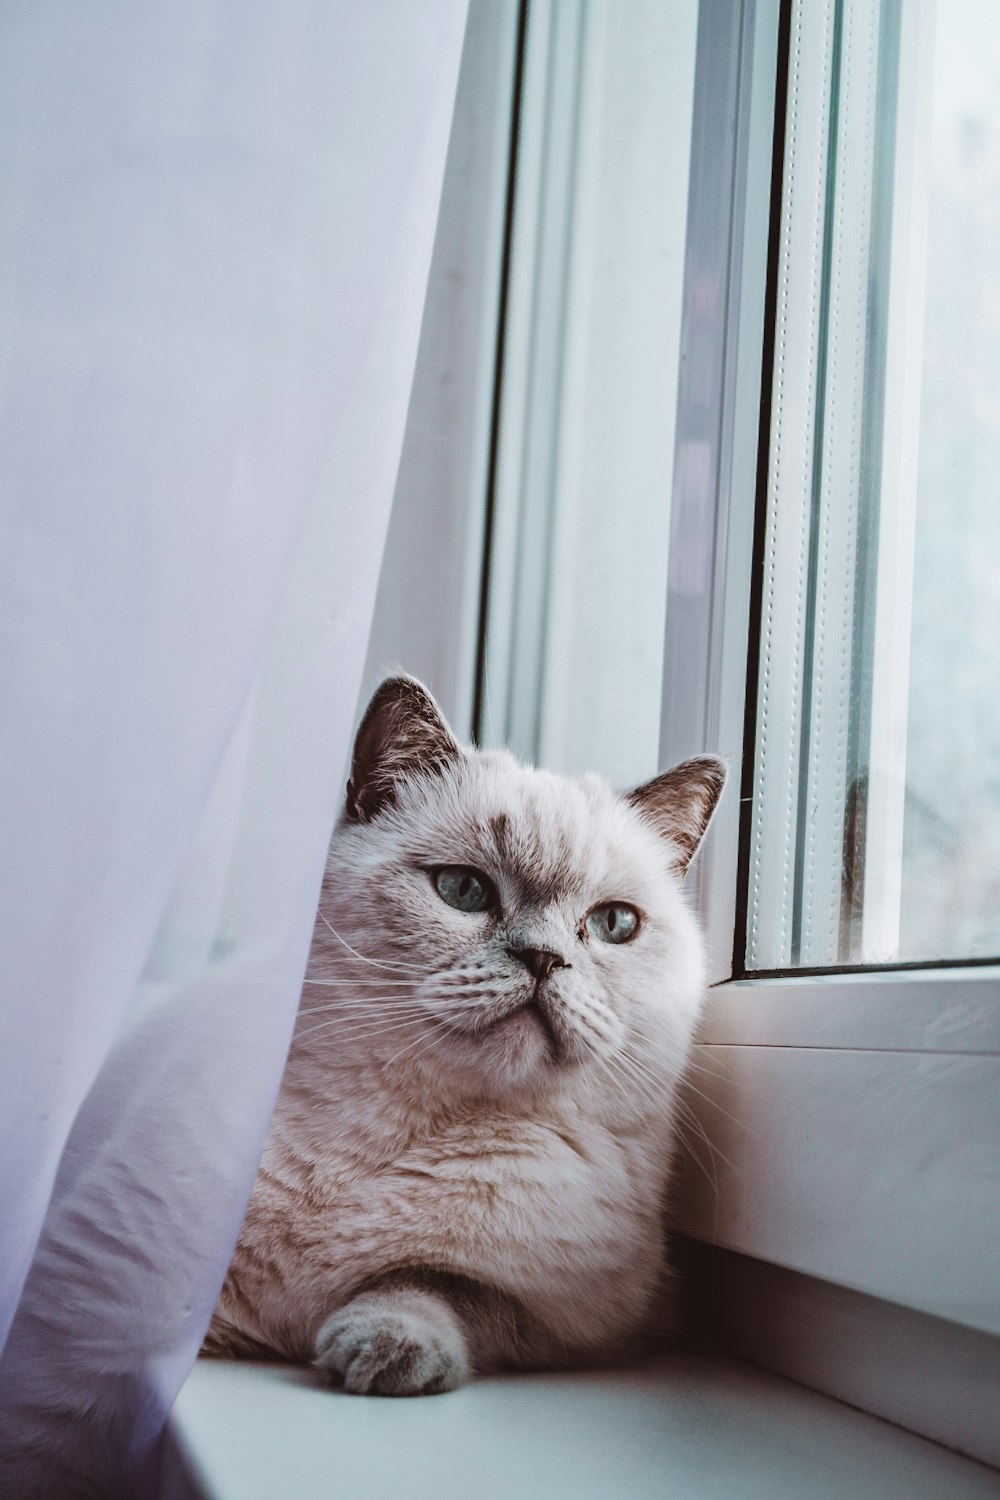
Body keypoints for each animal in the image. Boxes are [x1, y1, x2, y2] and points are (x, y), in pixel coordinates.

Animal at [209, 681, 728, 1392]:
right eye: (462, 889)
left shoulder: (574, 1320)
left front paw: (384, 1351)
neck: (399, 1127)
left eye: (614, 924)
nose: (543, 959)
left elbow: (429, 1281)